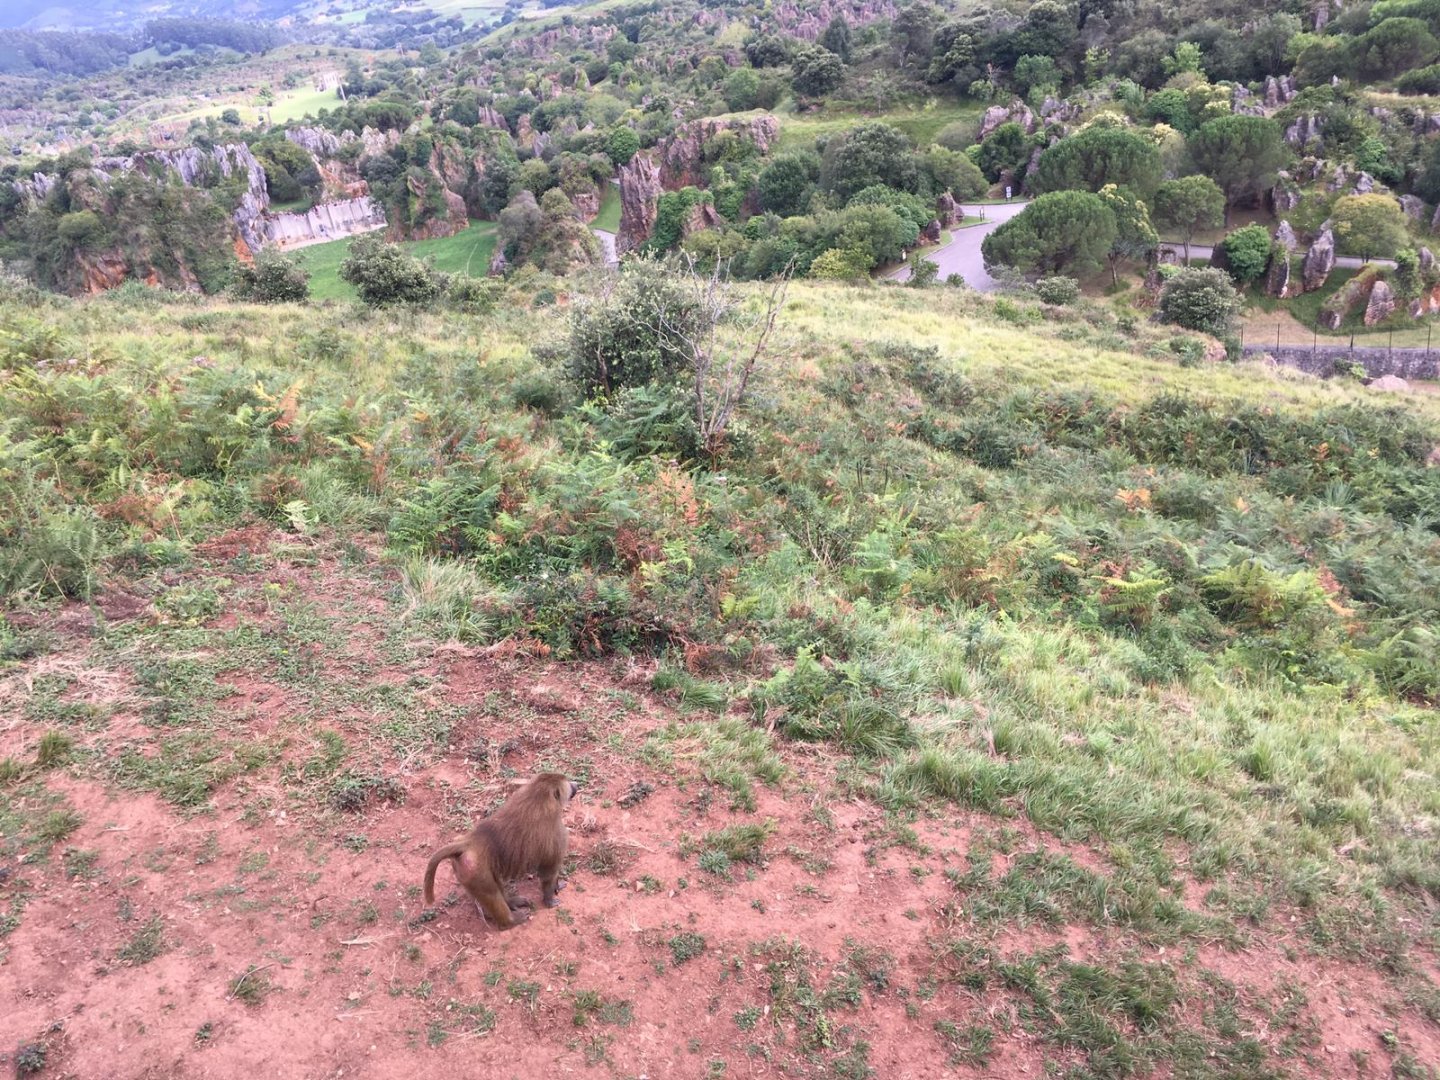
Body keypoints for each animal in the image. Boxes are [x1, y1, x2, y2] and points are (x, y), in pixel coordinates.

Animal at [423, 772, 578, 929]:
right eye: (568, 784)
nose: (576, 784)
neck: (538, 797)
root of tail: (467, 843)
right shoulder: (558, 832)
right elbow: (549, 872)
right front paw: (550, 900)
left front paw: (557, 887)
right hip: (474, 870)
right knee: (491, 894)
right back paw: (511, 921)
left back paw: (511, 903)